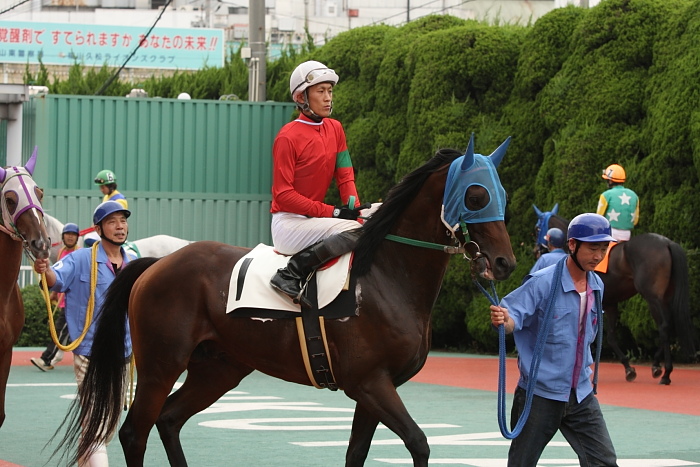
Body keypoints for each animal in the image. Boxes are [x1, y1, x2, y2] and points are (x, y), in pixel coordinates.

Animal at [536, 207, 696, 386]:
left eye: (536, 228)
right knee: (669, 325)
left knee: (664, 326)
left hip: (653, 298)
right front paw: (628, 368)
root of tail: (667, 242)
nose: (537, 250)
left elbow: (604, 338)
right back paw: (656, 365)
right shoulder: (611, 304)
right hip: (666, 297)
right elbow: (611, 337)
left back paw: (666, 372)